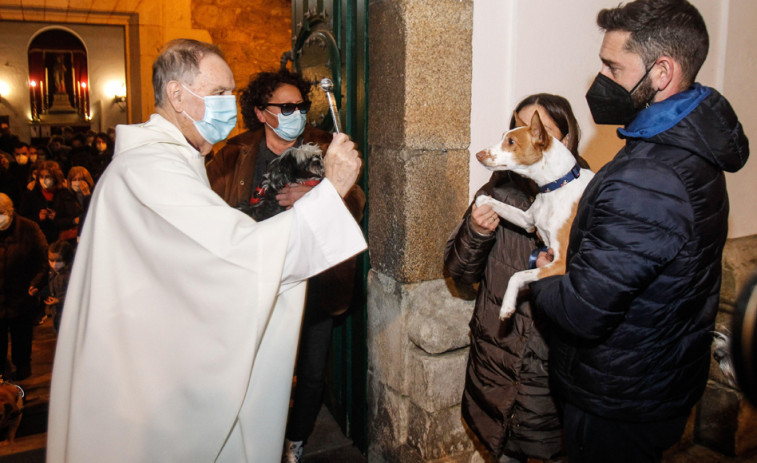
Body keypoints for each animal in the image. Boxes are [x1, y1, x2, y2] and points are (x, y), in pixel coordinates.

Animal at [476, 109, 592, 320]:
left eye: (511, 141)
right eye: (503, 137)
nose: (477, 155)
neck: (556, 187)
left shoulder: (561, 262)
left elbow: (518, 275)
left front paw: (507, 306)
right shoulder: (528, 220)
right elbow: (489, 201)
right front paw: (481, 204)